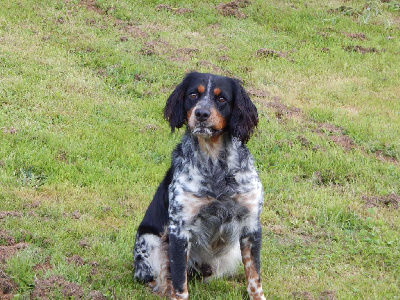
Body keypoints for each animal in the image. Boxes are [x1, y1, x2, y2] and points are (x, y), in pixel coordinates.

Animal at [134, 71, 266, 298]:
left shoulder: (250, 225)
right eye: (193, 95)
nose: (202, 113)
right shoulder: (179, 229)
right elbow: (179, 284)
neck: (216, 166)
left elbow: (254, 276)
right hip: (149, 242)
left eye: (221, 99)